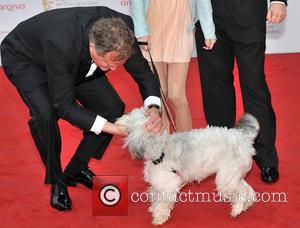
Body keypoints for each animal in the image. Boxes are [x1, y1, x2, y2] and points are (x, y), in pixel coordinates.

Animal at [116, 107, 258, 224]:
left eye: (130, 116)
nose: (124, 112)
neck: (161, 150)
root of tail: (244, 137)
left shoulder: (169, 185)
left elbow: (162, 203)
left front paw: (159, 217)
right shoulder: (158, 183)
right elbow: (155, 196)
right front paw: (153, 209)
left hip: (226, 177)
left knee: (242, 191)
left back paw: (237, 209)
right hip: (234, 174)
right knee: (248, 189)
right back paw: (246, 205)